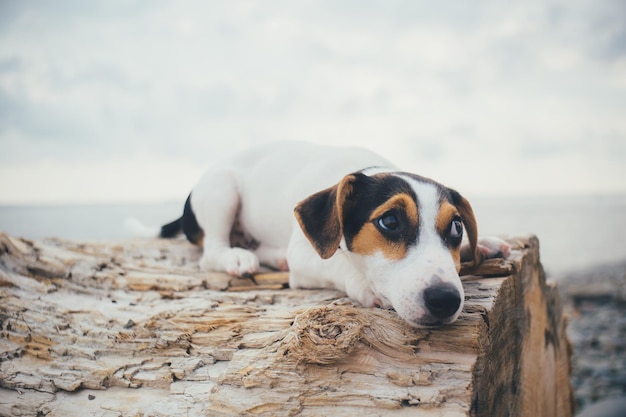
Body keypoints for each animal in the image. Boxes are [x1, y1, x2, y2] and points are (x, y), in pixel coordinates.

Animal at [155, 141, 508, 326]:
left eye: (457, 227)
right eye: (390, 222)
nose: (445, 299)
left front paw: (481, 244)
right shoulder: (306, 255)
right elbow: (338, 263)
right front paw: (367, 286)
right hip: (221, 190)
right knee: (212, 251)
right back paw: (238, 257)